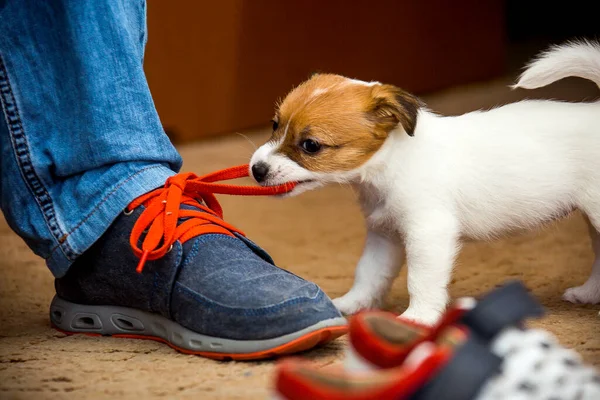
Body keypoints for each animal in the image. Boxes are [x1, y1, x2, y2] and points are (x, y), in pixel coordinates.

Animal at [247, 41, 600, 324]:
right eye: (275, 125)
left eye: (311, 145)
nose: (256, 170)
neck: (393, 163)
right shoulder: (384, 236)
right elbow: (369, 274)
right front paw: (352, 304)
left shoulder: (428, 234)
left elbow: (420, 280)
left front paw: (419, 317)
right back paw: (587, 294)